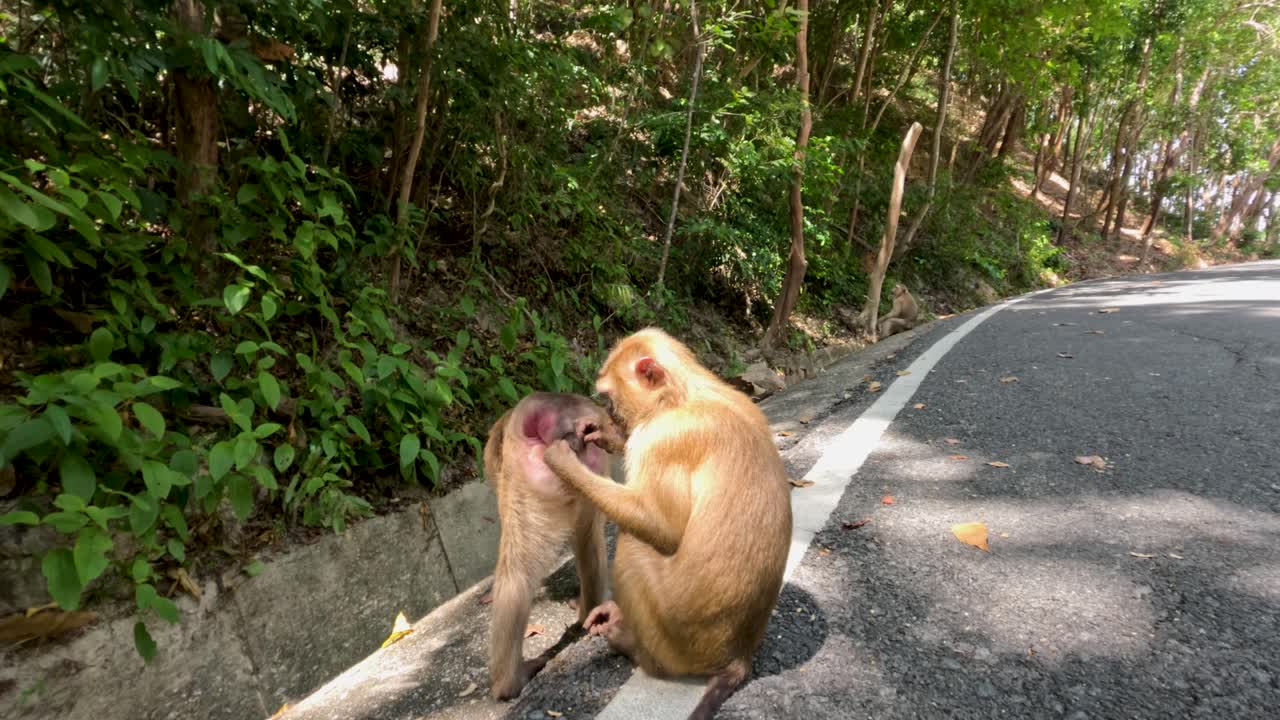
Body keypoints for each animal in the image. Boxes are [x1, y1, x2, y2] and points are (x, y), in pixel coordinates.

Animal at [483, 392, 615, 701]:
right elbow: (587, 537)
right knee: (588, 538)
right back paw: (591, 610)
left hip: (532, 476)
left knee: (516, 574)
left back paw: (509, 682)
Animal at [543, 327, 793, 720]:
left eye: (609, 399)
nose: (610, 417)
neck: (681, 396)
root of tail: (740, 652)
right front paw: (602, 434)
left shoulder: (661, 439)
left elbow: (662, 528)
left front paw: (564, 463)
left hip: (675, 634)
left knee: (633, 544)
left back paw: (631, 644)